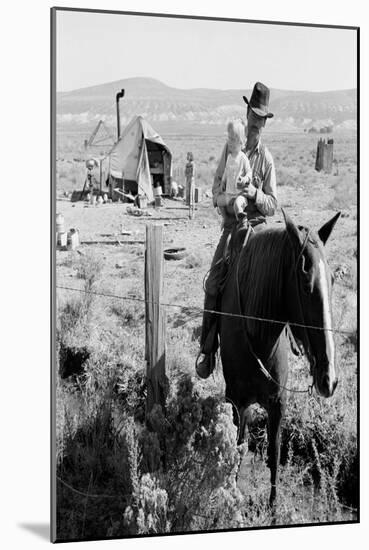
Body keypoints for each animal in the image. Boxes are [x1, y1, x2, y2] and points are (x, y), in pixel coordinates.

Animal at [218, 209, 340, 506]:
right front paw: (232, 492)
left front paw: (273, 505)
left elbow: (274, 453)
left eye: (332, 280)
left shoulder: (278, 404)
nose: (329, 380)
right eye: (305, 284)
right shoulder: (236, 401)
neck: (259, 337)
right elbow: (237, 445)